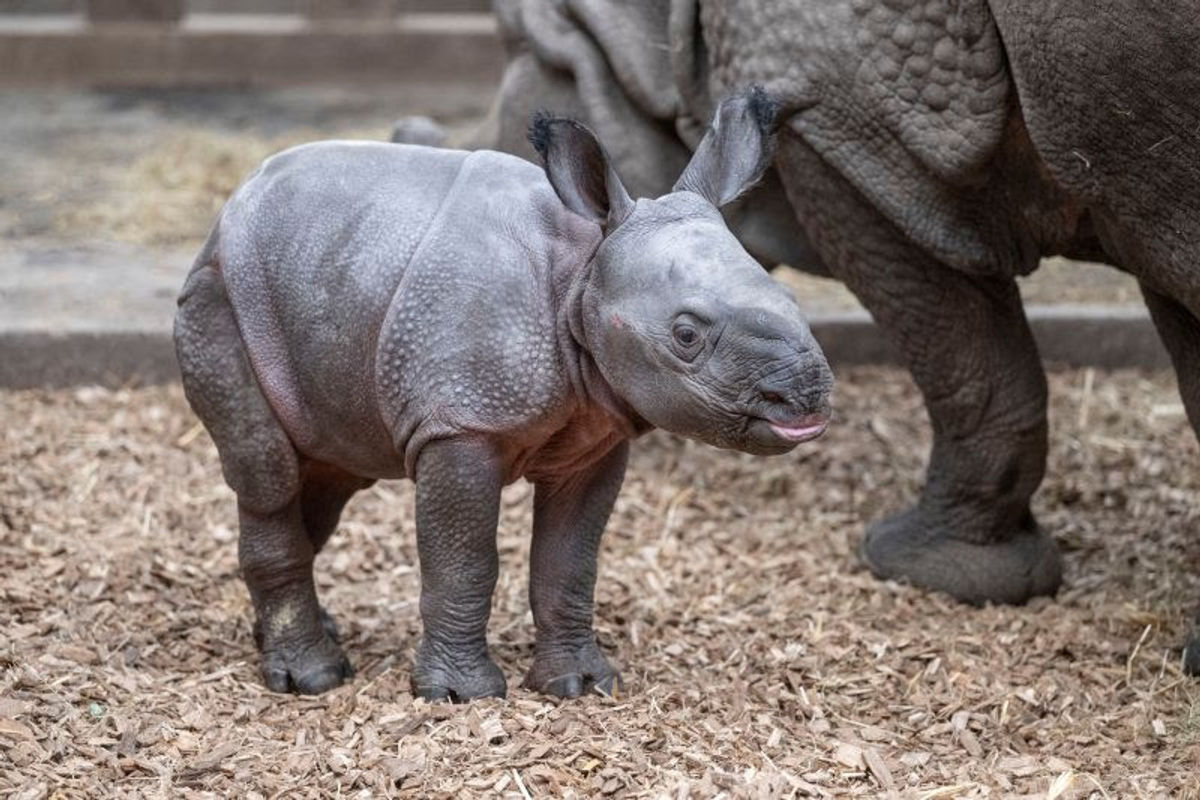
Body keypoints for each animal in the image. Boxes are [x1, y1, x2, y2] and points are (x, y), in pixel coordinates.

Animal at [175, 90, 834, 699]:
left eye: (793, 300)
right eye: (687, 335)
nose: (806, 396)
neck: (584, 269)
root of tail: (232, 204)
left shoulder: (595, 436)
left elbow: (569, 563)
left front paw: (580, 685)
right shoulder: (460, 422)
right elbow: (464, 562)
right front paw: (459, 695)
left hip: (322, 273)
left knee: (326, 473)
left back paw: (298, 638)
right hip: (218, 292)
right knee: (269, 472)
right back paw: (312, 677)